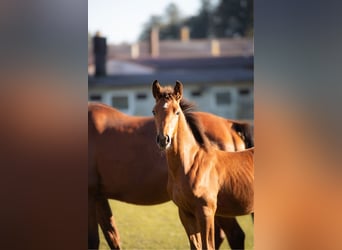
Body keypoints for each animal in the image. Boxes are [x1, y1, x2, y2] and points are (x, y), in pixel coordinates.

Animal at [88, 101, 254, 248]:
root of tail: (229, 124)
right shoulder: (99, 197)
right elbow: (112, 236)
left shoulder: (91, 196)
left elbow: (95, 240)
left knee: (235, 235)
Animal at [152, 80, 254, 250]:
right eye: (154, 111)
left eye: (177, 112)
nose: (163, 140)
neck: (190, 165)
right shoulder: (185, 213)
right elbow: (196, 246)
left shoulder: (206, 212)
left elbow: (208, 246)